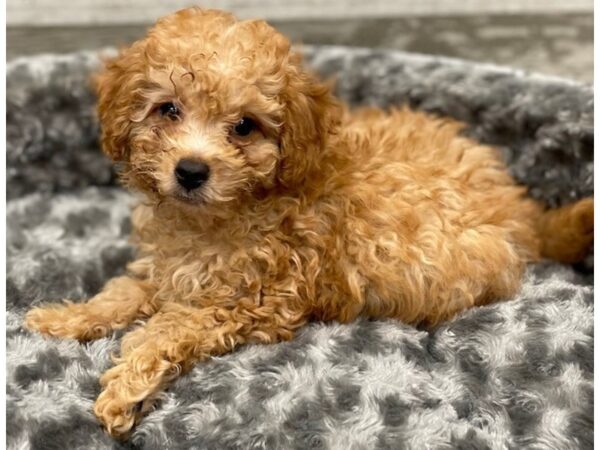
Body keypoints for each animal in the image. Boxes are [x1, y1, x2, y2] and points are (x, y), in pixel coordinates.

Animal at [24, 6, 596, 436]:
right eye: (168, 109)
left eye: (245, 126)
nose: (190, 170)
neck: (218, 215)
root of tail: (522, 209)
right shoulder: (167, 268)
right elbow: (121, 292)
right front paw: (65, 317)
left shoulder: (254, 301)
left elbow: (168, 328)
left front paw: (125, 388)